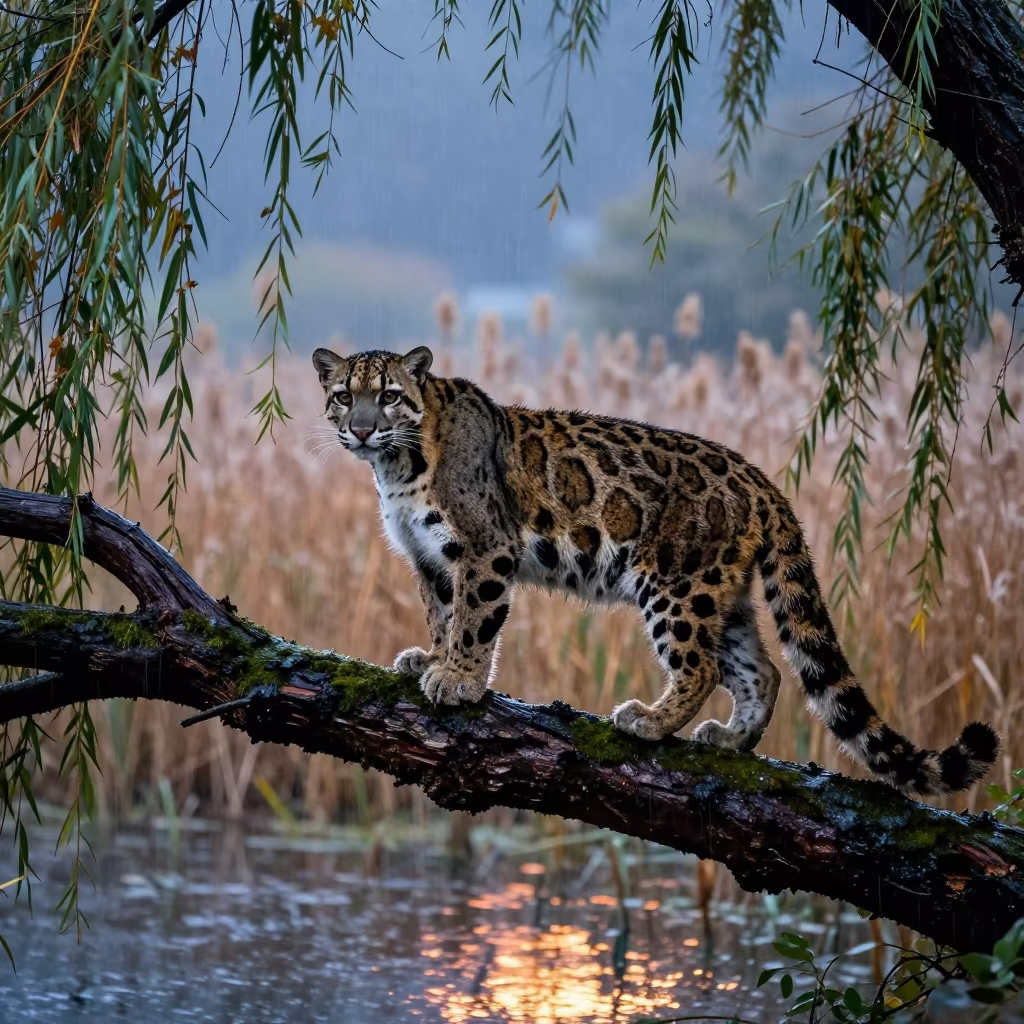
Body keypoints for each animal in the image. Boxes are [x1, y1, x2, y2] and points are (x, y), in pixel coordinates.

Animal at [312, 344, 1000, 798]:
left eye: (389, 396)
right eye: (345, 396)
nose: (363, 429)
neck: (396, 469)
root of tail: (764, 483)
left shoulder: (484, 549)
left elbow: (475, 621)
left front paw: (458, 681)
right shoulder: (428, 558)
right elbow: (442, 614)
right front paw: (430, 660)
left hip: (673, 585)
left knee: (700, 667)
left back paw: (648, 722)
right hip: (724, 596)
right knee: (765, 669)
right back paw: (730, 738)